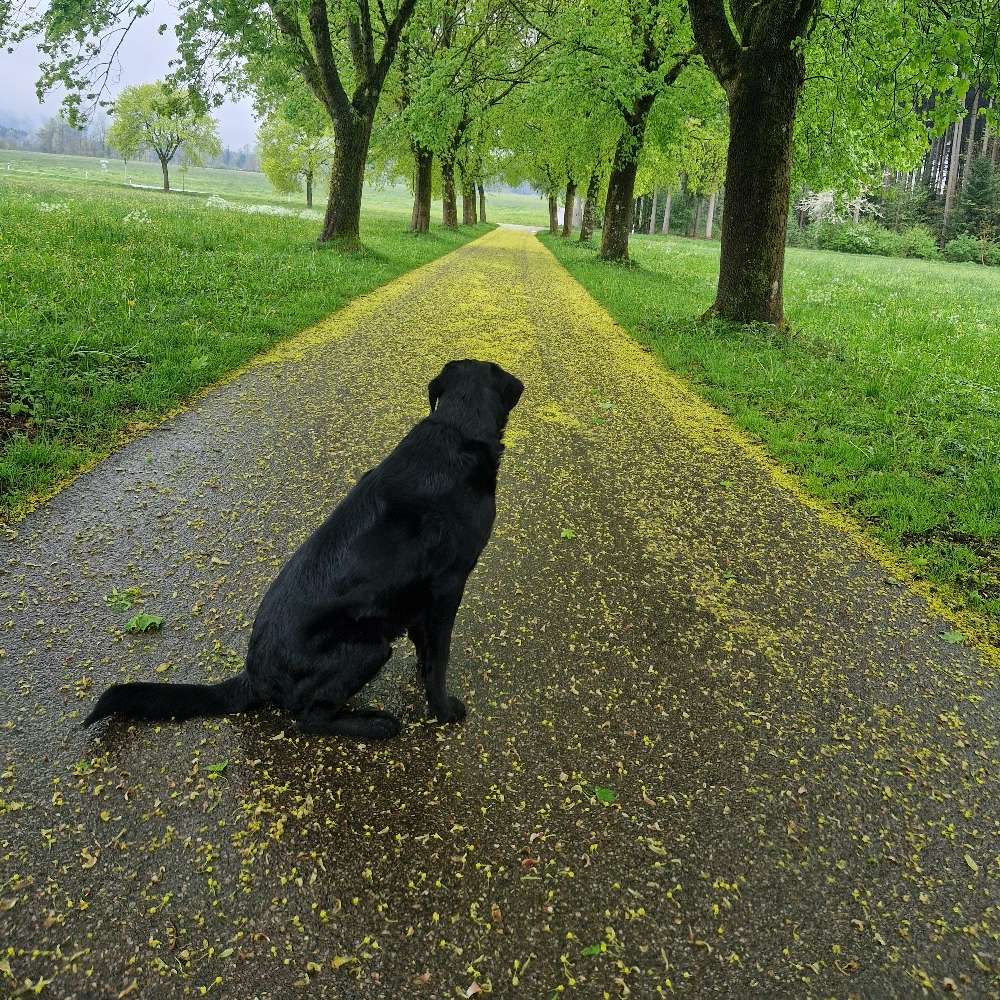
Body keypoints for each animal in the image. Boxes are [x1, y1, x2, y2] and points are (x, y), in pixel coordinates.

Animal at [85, 364, 524, 740]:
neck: (456, 428)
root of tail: (254, 675)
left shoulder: (417, 597)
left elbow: (425, 647)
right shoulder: (448, 585)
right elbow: (439, 659)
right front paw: (444, 710)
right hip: (368, 646)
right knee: (309, 719)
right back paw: (374, 723)